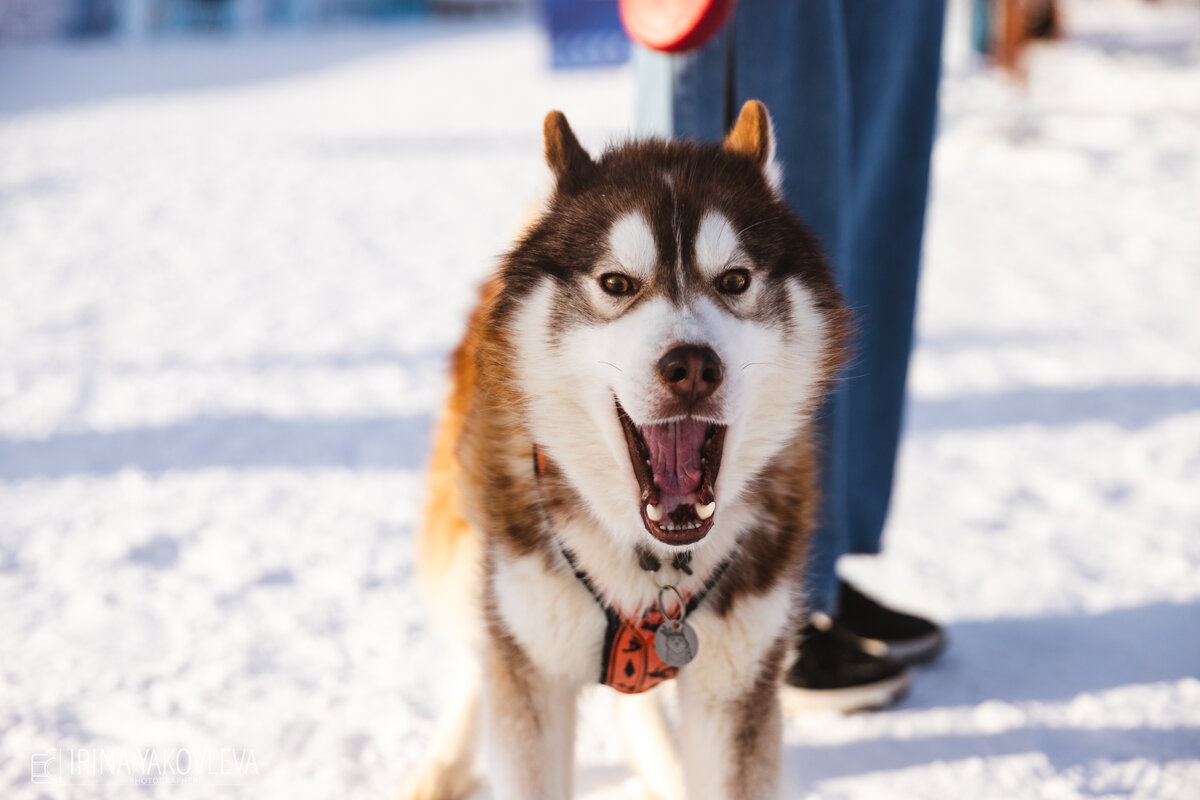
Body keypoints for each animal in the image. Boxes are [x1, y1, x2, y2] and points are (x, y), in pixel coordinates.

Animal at [408, 101, 849, 800]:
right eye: (616, 282)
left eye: (735, 280)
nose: (692, 366)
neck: (654, 566)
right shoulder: (532, 665)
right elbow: (503, 668)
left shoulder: (735, 682)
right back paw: (444, 764)